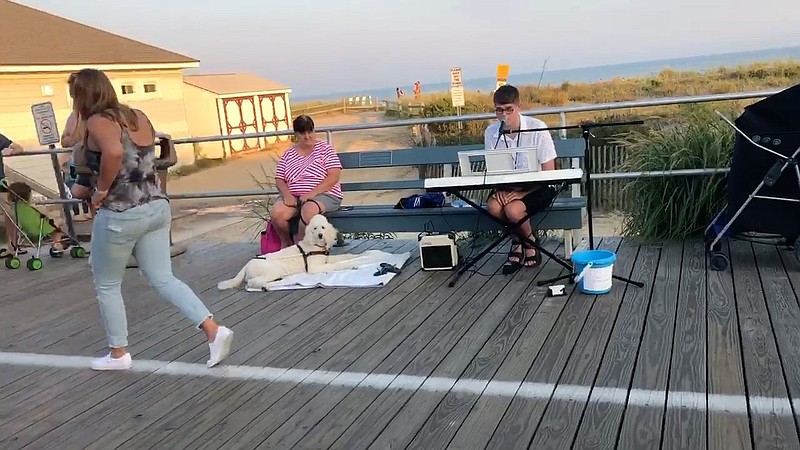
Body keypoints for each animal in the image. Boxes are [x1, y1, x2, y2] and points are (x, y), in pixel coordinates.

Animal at [216, 214, 384, 292]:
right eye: (315, 228)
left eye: (323, 227)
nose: (320, 235)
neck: (315, 245)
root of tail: (246, 265)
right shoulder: (315, 268)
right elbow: (338, 265)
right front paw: (353, 265)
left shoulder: (326, 259)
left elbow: (346, 257)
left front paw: (359, 257)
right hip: (273, 269)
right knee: (251, 283)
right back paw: (267, 286)